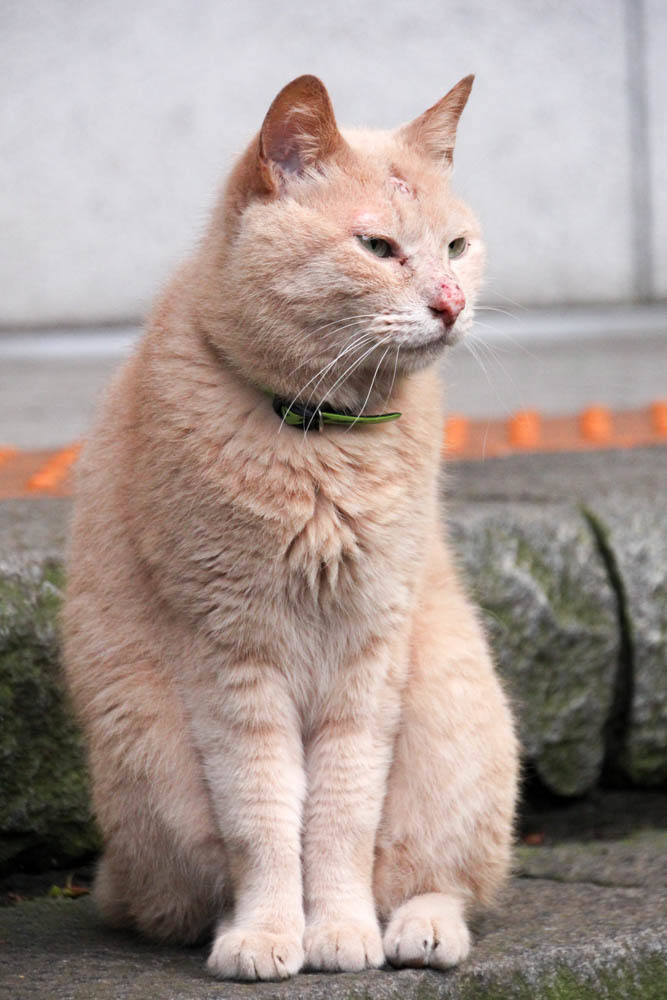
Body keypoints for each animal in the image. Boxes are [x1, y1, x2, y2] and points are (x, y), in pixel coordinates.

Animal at [62, 74, 520, 980]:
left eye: (455, 247)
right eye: (377, 247)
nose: (450, 303)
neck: (321, 438)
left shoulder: (367, 655)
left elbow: (340, 818)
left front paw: (337, 930)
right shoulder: (232, 656)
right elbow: (266, 816)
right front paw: (271, 933)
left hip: (454, 720)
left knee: (439, 878)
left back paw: (421, 929)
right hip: (152, 776)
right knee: (178, 897)